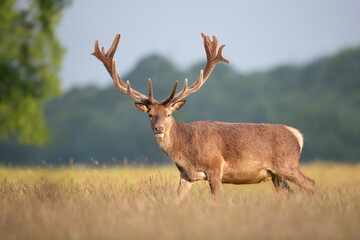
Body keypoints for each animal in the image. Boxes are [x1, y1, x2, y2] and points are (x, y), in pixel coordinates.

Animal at [91, 32, 316, 200]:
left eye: (169, 113)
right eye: (150, 114)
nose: (159, 128)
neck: (185, 151)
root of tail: (298, 135)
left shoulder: (215, 168)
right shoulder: (186, 175)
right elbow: (176, 199)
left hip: (287, 164)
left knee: (312, 184)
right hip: (276, 174)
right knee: (289, 192)